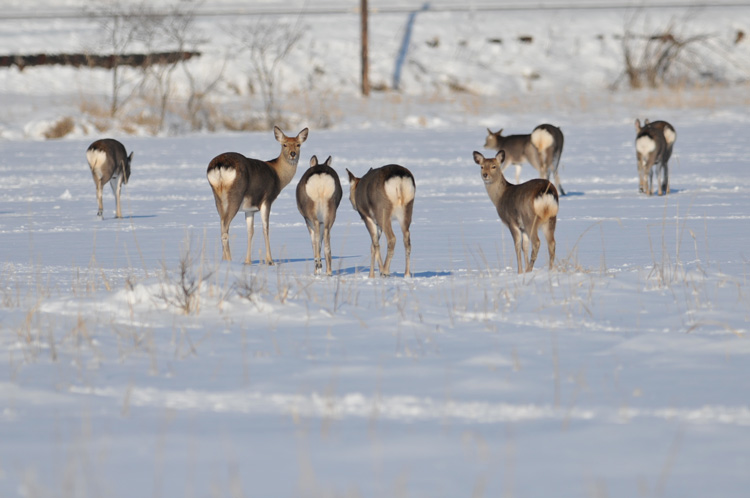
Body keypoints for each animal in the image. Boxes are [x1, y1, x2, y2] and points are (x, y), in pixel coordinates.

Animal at [206, 125, 308, 264]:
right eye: (284, 144)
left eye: (298, 144)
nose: (293, 154)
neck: (278, 176)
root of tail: (220, 165)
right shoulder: (267, 200)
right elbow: (266, 228)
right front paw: (270, 260)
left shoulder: (249, 209)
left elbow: (250, 231)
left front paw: (248, 261)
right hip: (235, 195)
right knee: (225, 228)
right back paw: (229, 261)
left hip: (217, 197)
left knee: (222, 225)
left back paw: (224, 260)